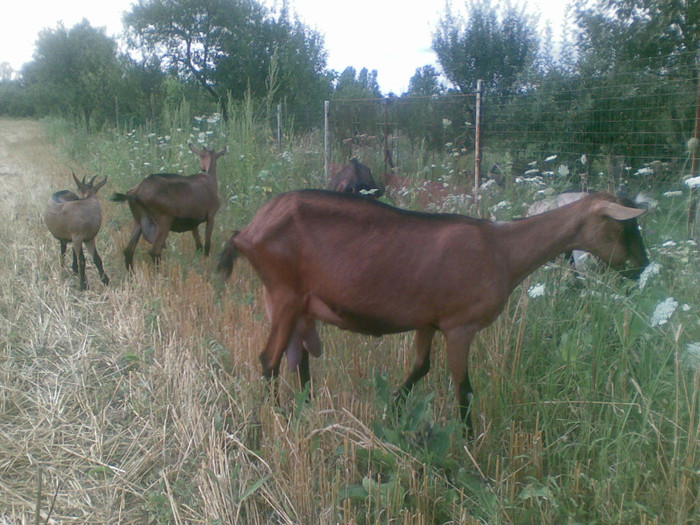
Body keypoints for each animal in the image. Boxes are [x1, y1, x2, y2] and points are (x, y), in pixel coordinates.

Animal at [219, 190, 652, 436]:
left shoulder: (428, 321)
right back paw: (273, 419)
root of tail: (247, 232)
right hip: (284, 294)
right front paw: (470, 445)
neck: (503, 250)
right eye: (625, 228)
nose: (640, 269)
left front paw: (391, 412)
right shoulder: (461, 325)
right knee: (269, 359)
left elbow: (420, 368)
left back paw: (300, 413)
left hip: (294, 304)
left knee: (296, 359)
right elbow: (463, 390)